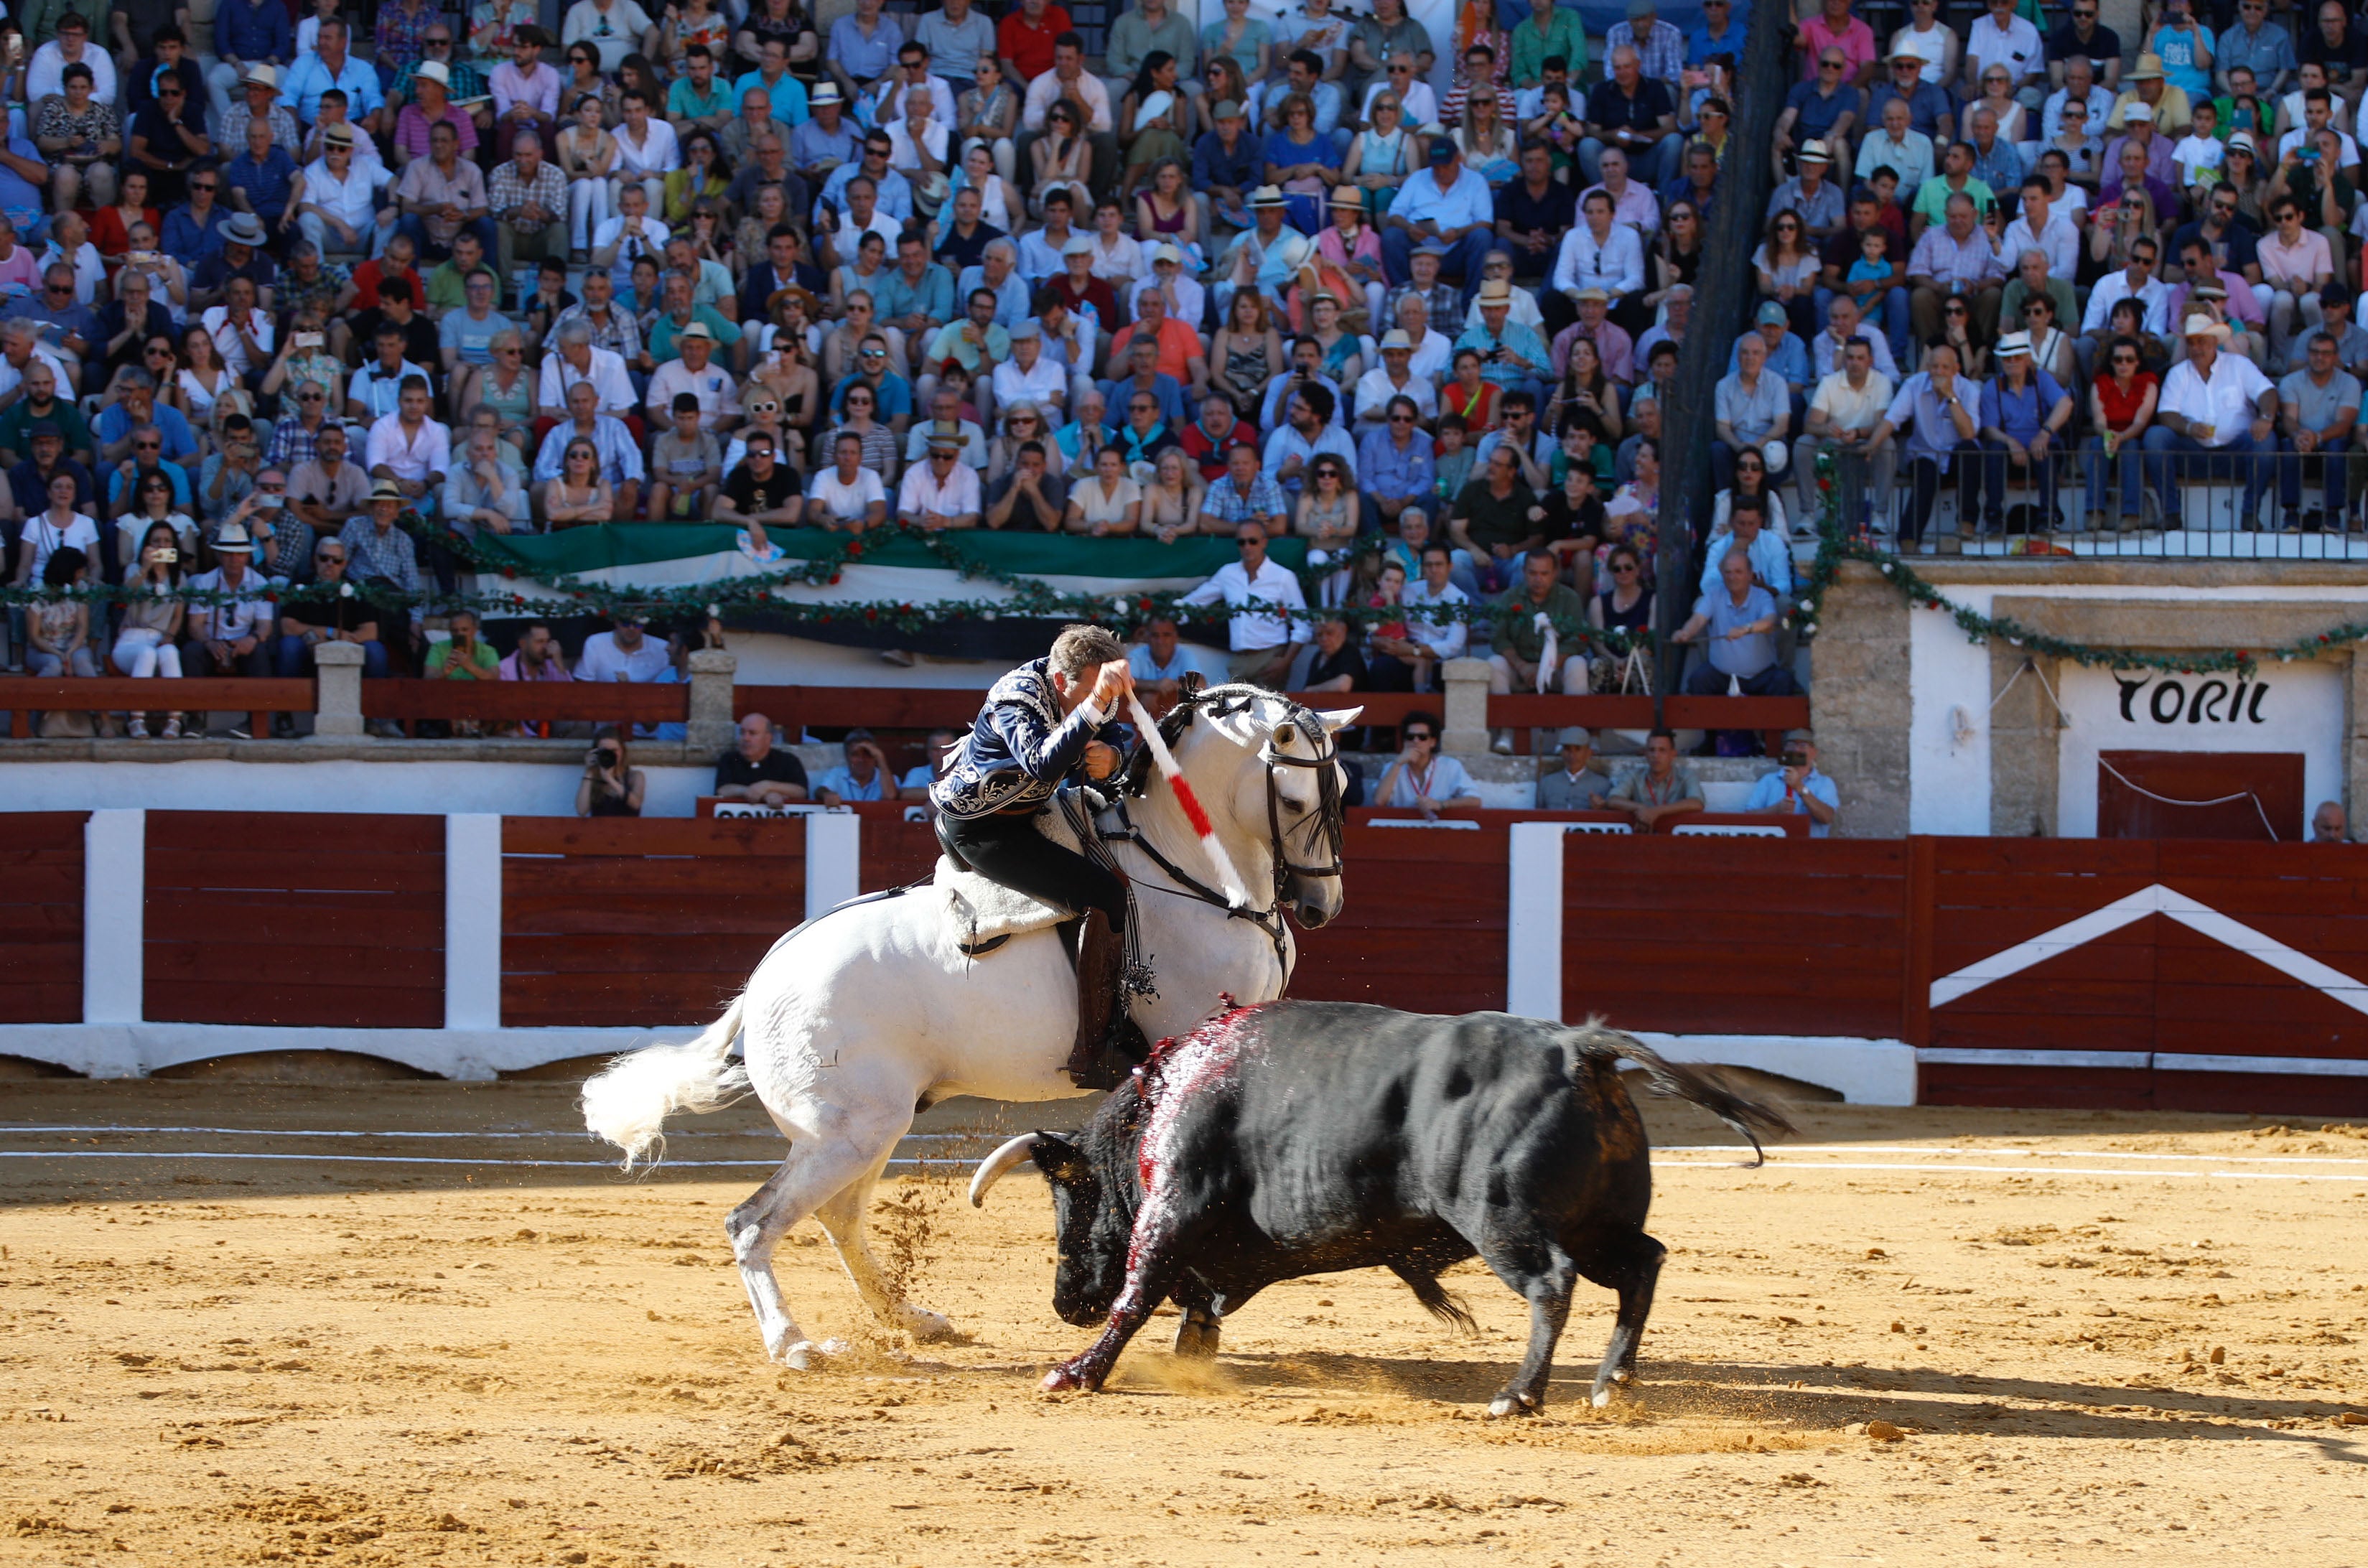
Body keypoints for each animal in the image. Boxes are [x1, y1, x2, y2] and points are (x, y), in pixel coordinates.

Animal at [577, 686, 1354, 1364]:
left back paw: (912, 1319)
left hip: (865, 1129)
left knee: (838, 1217)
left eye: (1343, 788)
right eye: (1293, 799)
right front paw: (1195, 1319)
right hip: (849, 1130)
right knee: (755, 1223)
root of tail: (768, 974)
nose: (1322, 906)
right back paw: (794, 1345)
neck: (1192, 873)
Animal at [966, 1009, 1790, 1421]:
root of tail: (1575, 1048)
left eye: (1071, 1198)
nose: (1063, 1302)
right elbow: (1191, 1300)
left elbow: (1139, 1293)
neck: (1166, 1098)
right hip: (1598, 1225)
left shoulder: (1174, 1204)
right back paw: (1610, 1382)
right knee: (1642, 1265)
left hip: (1505, 1222)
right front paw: (1187, 1354)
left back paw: (1517, 1396)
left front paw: (1076, 1373)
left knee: (1552, 1285)